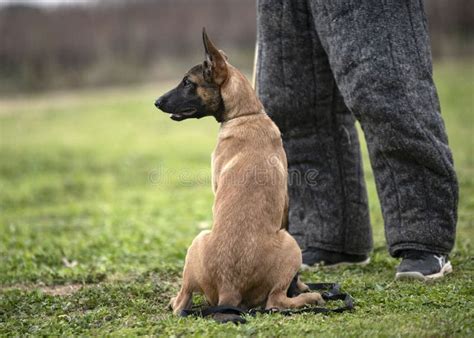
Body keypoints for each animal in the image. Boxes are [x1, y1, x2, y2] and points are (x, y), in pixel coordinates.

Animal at [154, 29, 324, 316]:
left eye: (188, 83)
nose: (156, 102)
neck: (246, 115)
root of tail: (228, 287)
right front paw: (300, 285)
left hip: (214, 240)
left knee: (271, 302)